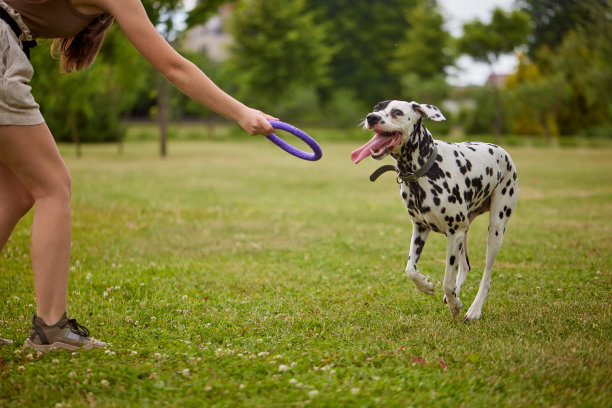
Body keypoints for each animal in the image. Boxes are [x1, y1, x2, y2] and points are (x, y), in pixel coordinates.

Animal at [352, 100, 520, 320]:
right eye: (376, 108)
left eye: (397, 112)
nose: (371, 117)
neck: (424, 171)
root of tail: (503, 152)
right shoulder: (420, 229)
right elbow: (410, 270)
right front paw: (426, 286)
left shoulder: (454, 233)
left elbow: (447, 281)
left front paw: (455, 305)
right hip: (465, 230)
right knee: (465, 266)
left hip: (495, 230)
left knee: (486, 276)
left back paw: (474, 309)